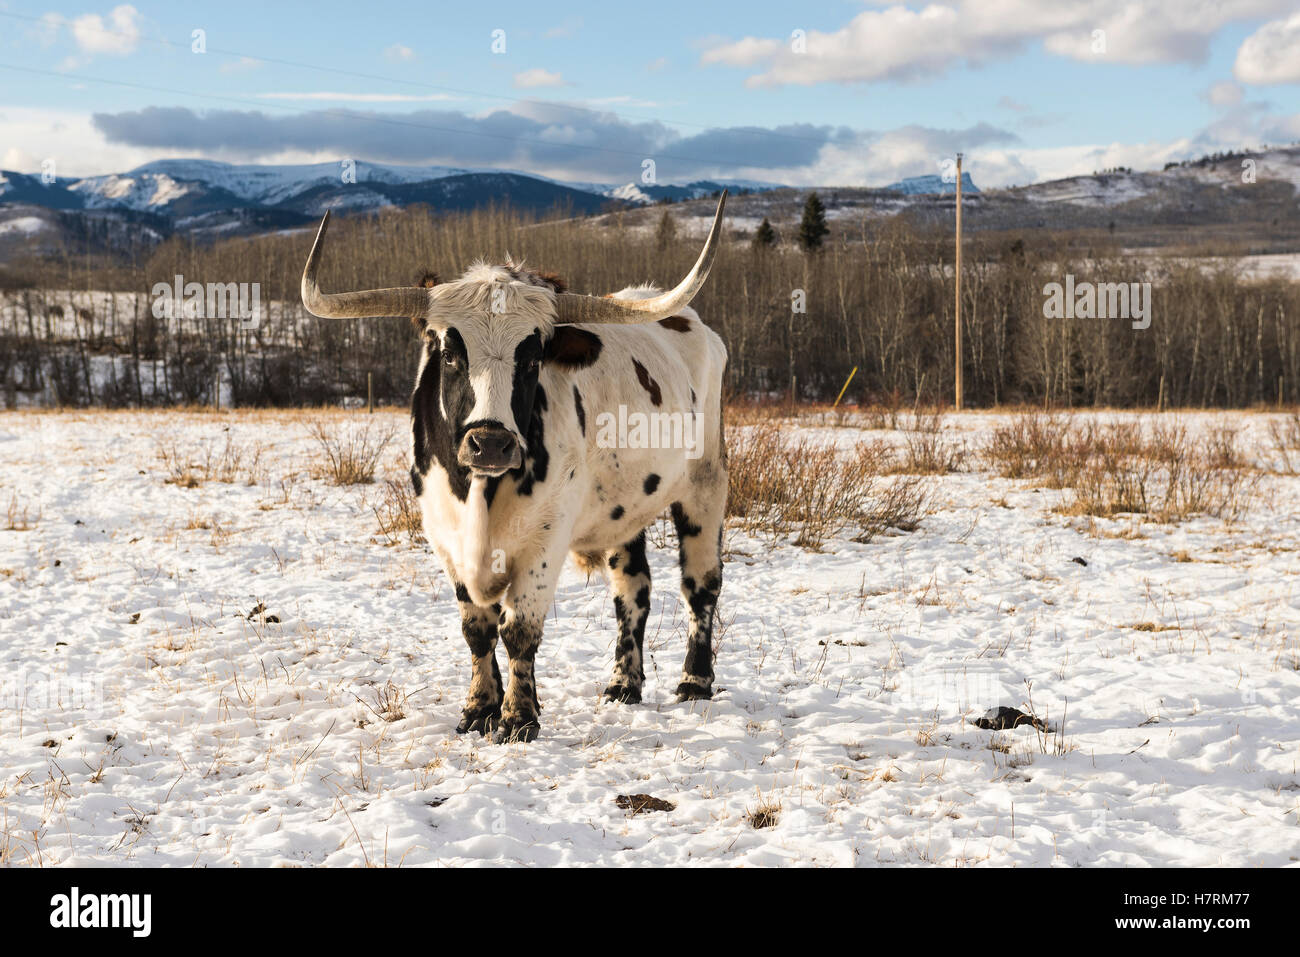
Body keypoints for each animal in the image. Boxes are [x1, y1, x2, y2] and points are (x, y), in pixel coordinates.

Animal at [300, 194, 730, 743]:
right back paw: (623, 684)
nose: (491, 444)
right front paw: (479, 708)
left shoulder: (547, 538)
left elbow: (519, 631)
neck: (481, 493)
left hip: (705, 484)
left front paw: (519, 716)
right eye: (449, 353)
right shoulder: (444, 536)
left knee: (701, 583)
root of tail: (695, 325)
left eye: (532, 357)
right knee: (633, 589)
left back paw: (695, 680)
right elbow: (477, 630)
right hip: (624, 510)